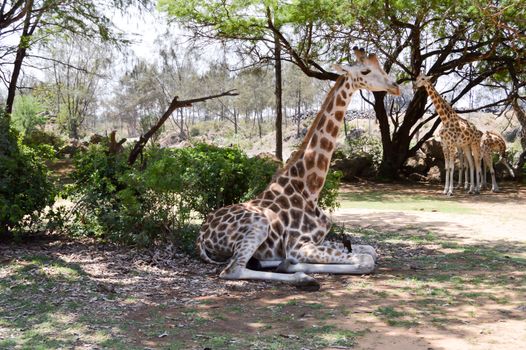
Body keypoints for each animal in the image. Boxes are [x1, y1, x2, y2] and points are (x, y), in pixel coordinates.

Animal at [197, 47, 400, 288]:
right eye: (365, 71)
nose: (395, 86)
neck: (309, 190)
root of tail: (201, 235)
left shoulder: (319, 240)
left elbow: (370, 250)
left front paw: (287, 263)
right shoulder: (299, 245)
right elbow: (365, 260)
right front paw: (294, 267)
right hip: (258, 223)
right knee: (233, 269)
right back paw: (302, 278)